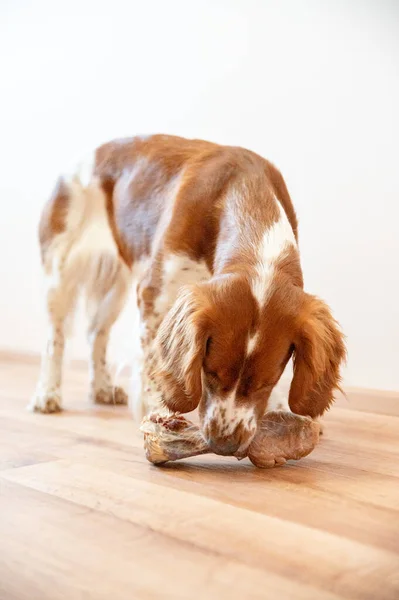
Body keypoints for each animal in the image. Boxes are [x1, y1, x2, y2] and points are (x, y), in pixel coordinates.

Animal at [30, 135, 346, 454]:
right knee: (54, 338)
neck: (244, 189)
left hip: (115, 285)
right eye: (211, 372)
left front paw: (283, 410)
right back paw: (47, 393)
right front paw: (157, 415)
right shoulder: (155, 296)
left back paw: (102, 388)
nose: (224, 444)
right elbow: (153, 364)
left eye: (265, 382)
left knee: (97, 333)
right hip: (60, 272)